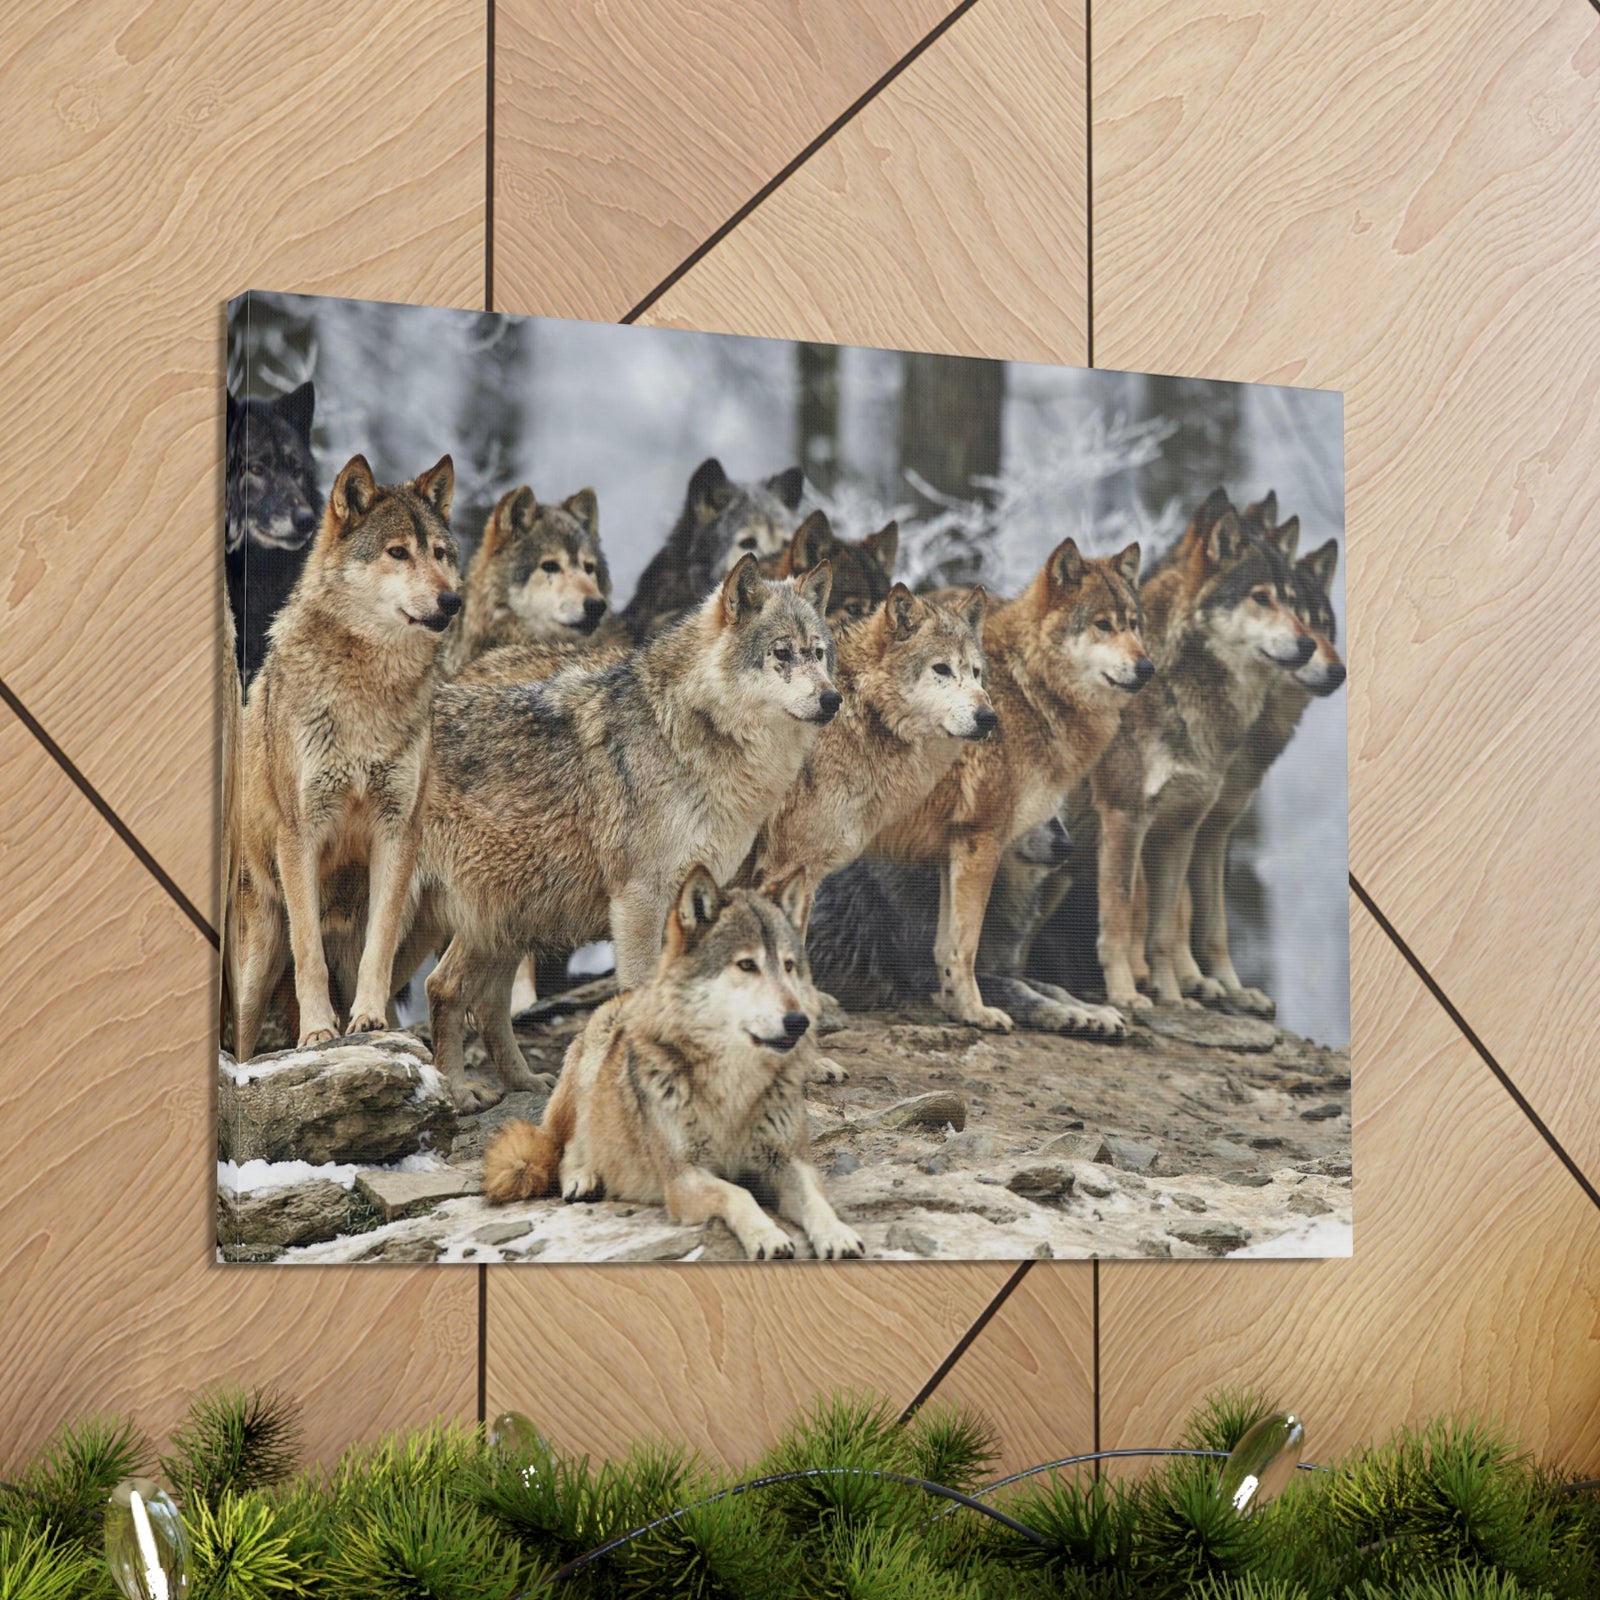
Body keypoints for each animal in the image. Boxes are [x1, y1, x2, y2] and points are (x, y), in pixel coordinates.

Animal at [232, 454, 461, 1058]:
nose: (452, 599)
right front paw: (318, 1031)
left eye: (441, 554)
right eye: (397, 552)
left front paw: (368, 1020)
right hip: (256, 957)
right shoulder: (301, 834)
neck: (367, 692)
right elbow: (308, 953)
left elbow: (376, 949)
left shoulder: (397, 831)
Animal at [419, 555, 838, 1110]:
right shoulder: (639, 899)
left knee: (470, 996)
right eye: (782, 654)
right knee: (443, 988)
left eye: (819, 654)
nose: (833, 699)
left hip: (507, 913)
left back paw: (522, 1082)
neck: (688, 733)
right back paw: (454, 1090)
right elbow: (640, 989)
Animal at [482, 866, 863, 1260]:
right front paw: (768, 1236)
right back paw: (582, 1177)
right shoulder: (682, 1178)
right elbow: (739, 1193)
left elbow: (816, 1201)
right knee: (566, 1146)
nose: (799, 1022)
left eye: (788, 966)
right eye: (746, 965)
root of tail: (622, 997)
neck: (734, 1088)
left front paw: (838, 1234)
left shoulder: (789, 1162)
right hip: (589, 1069)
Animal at [866, 539, 1151, 1034]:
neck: (1029, 689)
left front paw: (957, 1009)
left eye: (1133, 624)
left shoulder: (955, 846)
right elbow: (966, 945)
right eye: (1103, 625)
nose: (1147, 666)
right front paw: (976, 1012)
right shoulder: (981, 839)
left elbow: (950, 947)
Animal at [1090, 506, 1314, 1014]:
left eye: (1293, 603)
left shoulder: (1189, 829)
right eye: (1260, 597)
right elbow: (1121, 918)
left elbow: (1177, 928)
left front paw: (1177, 999)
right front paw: (1125, 995)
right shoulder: (1125, 818)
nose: (1310, 645)